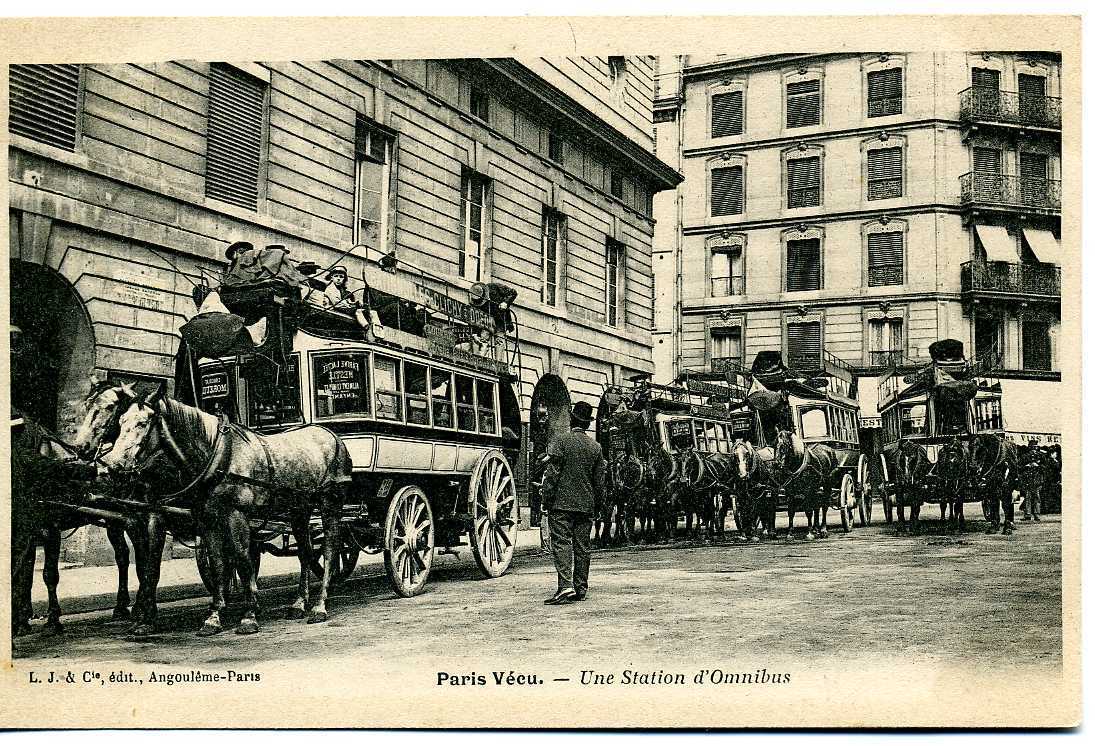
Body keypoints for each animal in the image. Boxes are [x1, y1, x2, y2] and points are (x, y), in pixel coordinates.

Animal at [100, 383, 350, 635]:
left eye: (143, 423)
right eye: (121, 421)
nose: (111, 466)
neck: (218, 456)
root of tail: (330, 435)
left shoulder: (236, 515)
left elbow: (242, 559)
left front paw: (249, 615)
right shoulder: (208, 520)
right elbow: (218, 563)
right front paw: (214, 616)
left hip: (330, 505)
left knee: (330, 550)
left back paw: (320, 606)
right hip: (299, 509)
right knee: (305, 552)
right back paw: (299, 604)